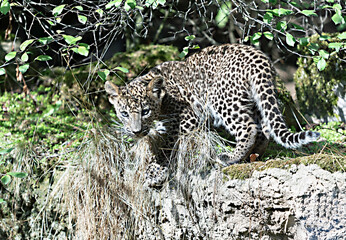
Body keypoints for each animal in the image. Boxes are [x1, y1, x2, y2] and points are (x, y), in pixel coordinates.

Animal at [104, 43, 320, 188]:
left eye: (145, 111)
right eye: (124, 113)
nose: (136, 131)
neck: (163, 99)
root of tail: (258, 56)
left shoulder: (188, 116)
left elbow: (168, 145)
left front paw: (156, 171)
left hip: (222, 99)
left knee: (248, 128)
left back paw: (229, 157)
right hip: (257, 99)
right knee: (264, 129)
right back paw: (251, 157)